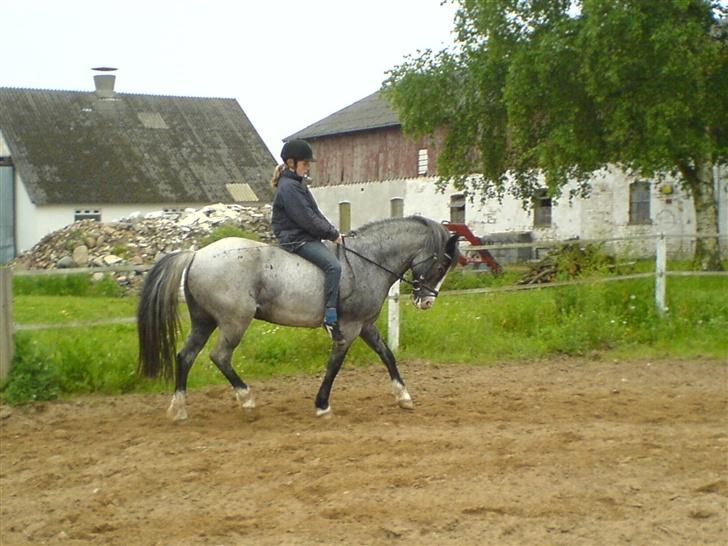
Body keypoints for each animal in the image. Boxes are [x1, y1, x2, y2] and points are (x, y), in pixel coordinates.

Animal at [135, 215, 460, 418]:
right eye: (442, 265)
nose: (427, 301)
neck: (368, 261)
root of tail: (196, 255)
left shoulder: (366, 325)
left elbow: (387, 355)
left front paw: (404, 397)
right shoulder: (349, 328)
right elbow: (334, 366)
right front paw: (322, 405)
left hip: (204, 321)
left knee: (185, 356)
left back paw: (179, 409)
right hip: (233, 322)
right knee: (220, 356)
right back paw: (247, 401)